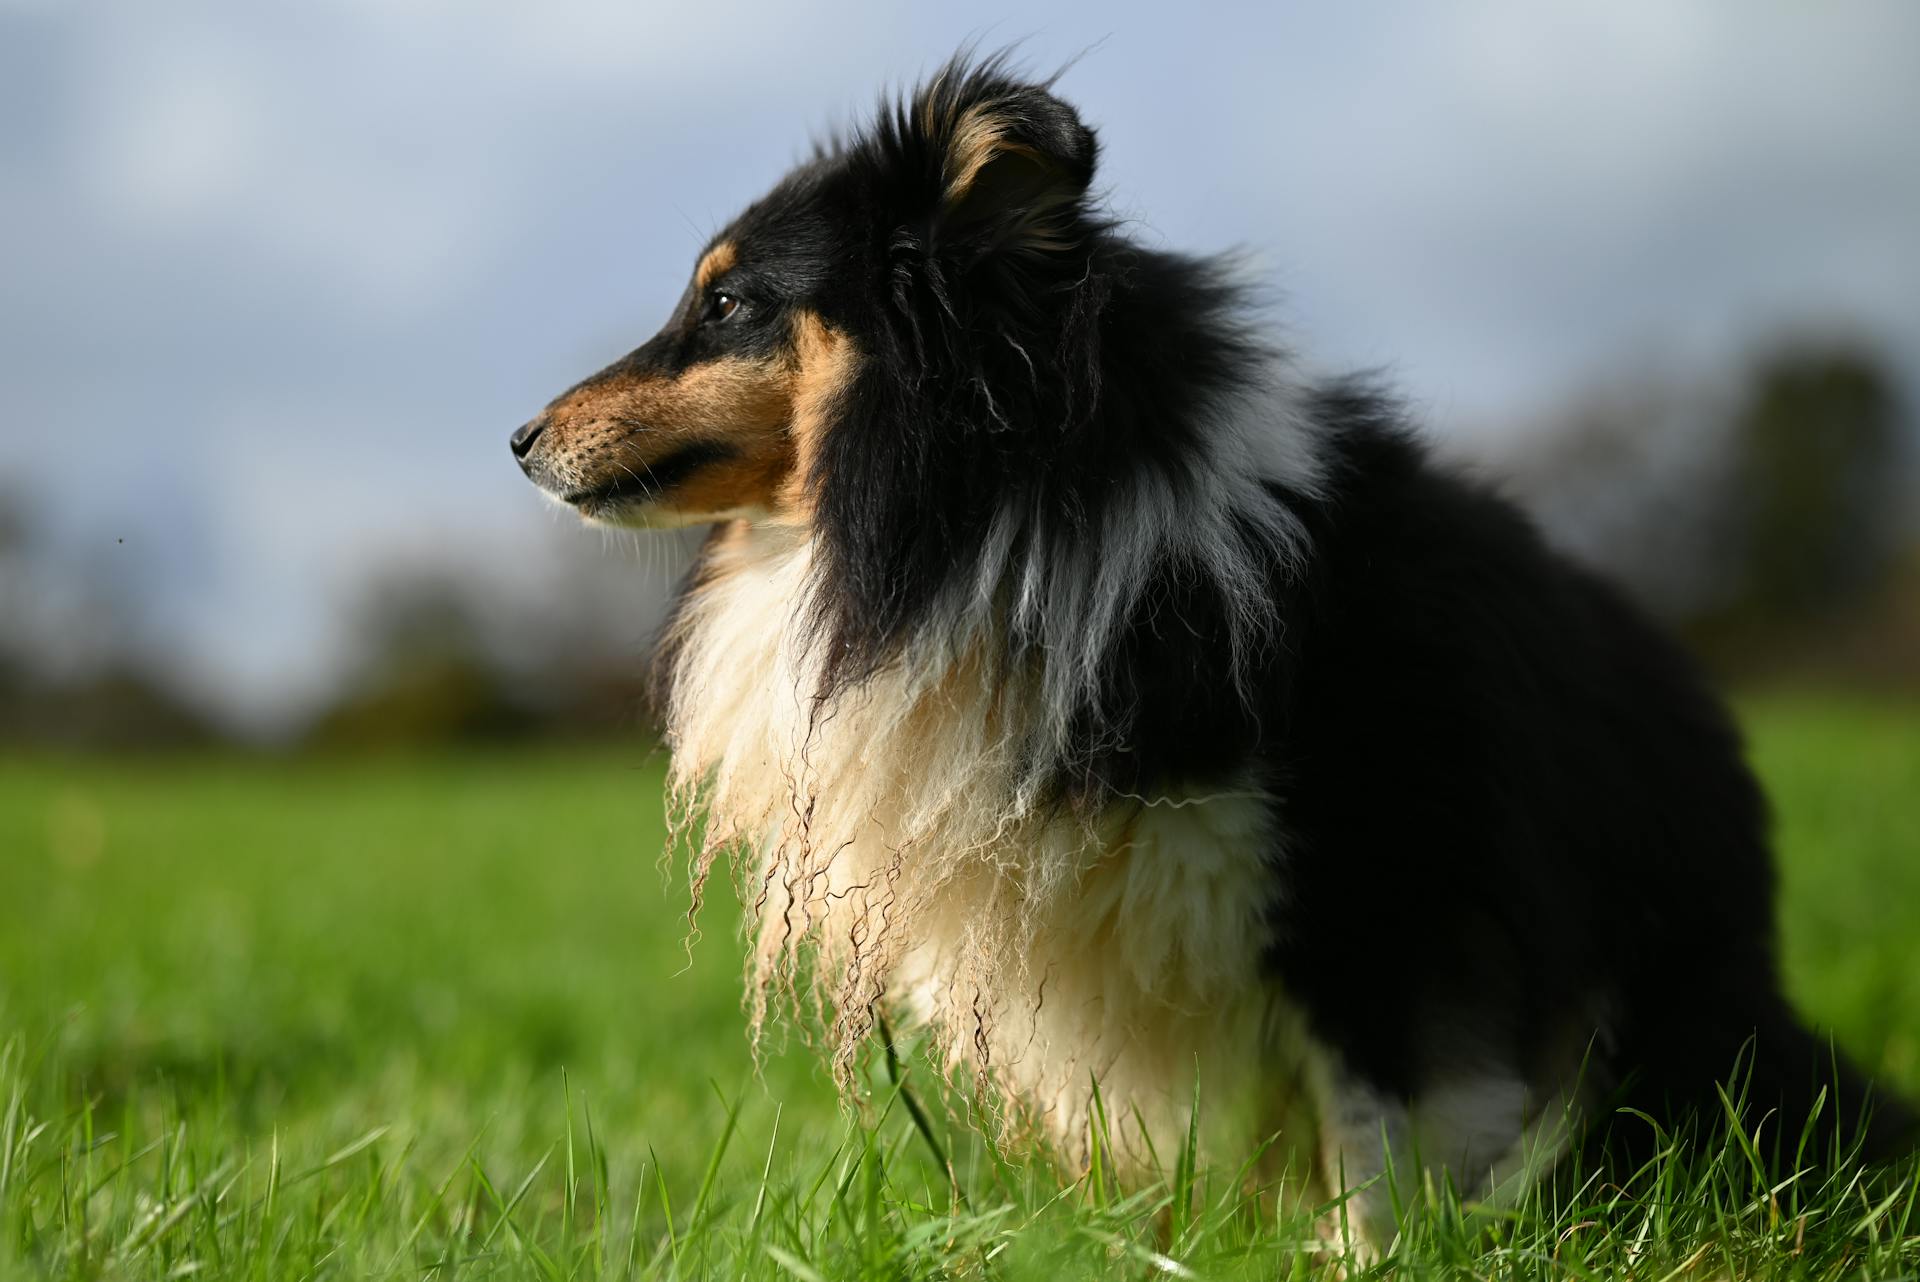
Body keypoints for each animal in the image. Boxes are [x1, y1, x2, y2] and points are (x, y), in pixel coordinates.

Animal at [510, 52, 1904, 1251]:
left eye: (728, 301)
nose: (520, 439)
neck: (1007, 510)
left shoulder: (1376, 896)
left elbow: (1381, 1137)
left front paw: (1370, 1259)